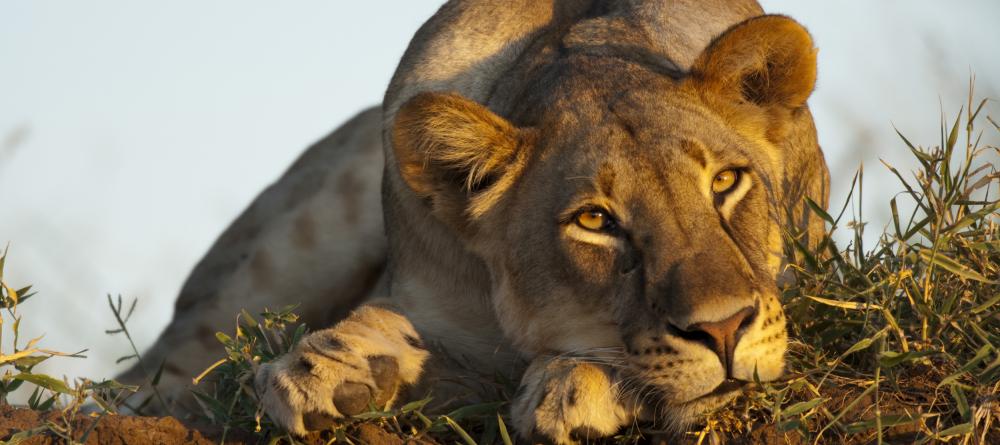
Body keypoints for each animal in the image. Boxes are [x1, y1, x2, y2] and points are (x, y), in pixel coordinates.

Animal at [120, 1, 829, 443]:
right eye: (595, 220)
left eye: (725, 183)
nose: (723, 330)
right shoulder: (425, 295)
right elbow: (385, 321)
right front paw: (322, 371)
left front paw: (575, 385)